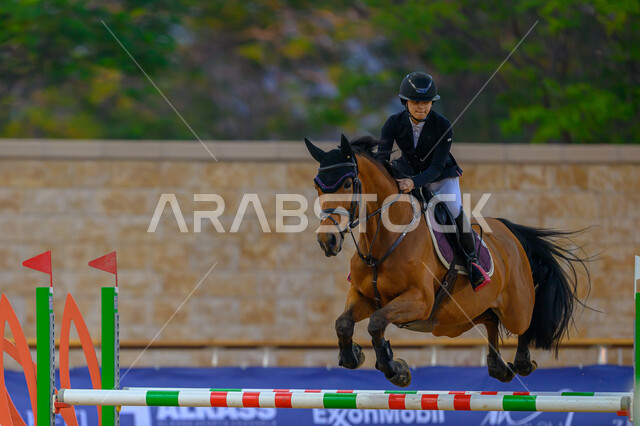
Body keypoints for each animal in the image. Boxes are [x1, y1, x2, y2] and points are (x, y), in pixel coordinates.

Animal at [304, 134, 590, 387]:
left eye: (347, 184)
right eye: (318, 186)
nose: (327, 240)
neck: (385, 240)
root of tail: (509, 232)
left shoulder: (419, 300)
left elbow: (376, 323)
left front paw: (395, 370)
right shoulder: (364, 296)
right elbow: (343, 323)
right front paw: (353, 355)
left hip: (515, 308)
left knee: (524, 324)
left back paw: (521, 362)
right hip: (463, 317)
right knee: (490, 320)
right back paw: (498, 366)